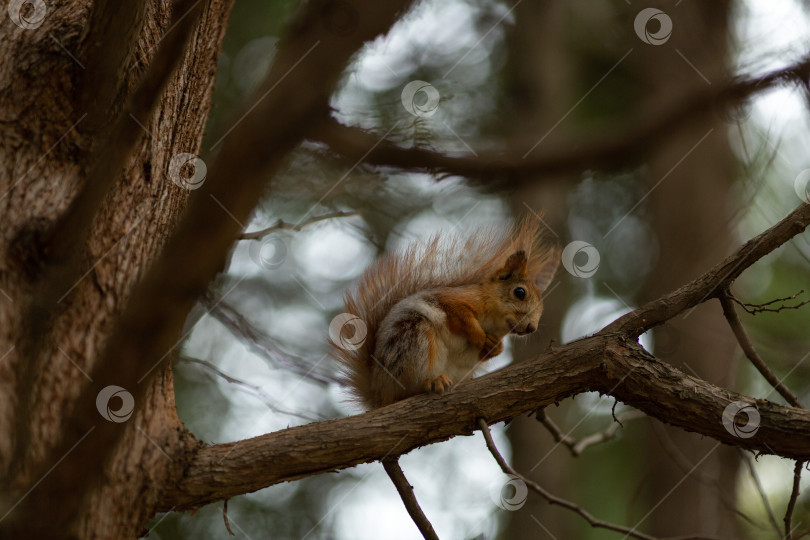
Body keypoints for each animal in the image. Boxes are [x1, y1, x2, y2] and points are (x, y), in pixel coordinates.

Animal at [332, 215, 560, 410]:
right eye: (520, 292)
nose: (531, 327)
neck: (495, 322)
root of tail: (379, 392)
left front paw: (495, 346)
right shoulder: (452, 300)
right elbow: (460, 315)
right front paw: (478, 336)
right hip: (412, 339)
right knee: (409, 387)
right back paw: (432, 381)